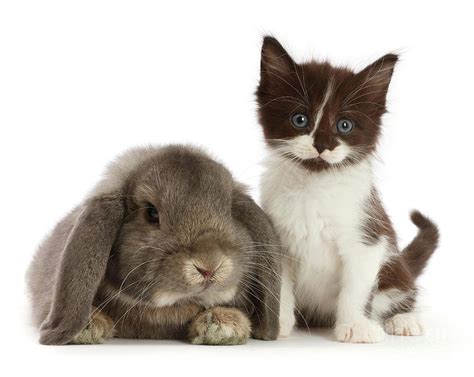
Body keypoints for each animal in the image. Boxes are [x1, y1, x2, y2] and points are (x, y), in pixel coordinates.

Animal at [258, 37, 438, 340]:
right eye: (300, 120)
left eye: (344, 125)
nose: (322, 144)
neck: (315, 187)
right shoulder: (275, 237)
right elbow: (279, 284)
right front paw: (277, 323)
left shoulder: (368, 237)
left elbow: (357, 288)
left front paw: (355, 326)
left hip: (394, 269)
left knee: (402, 291)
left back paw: (404, 319)